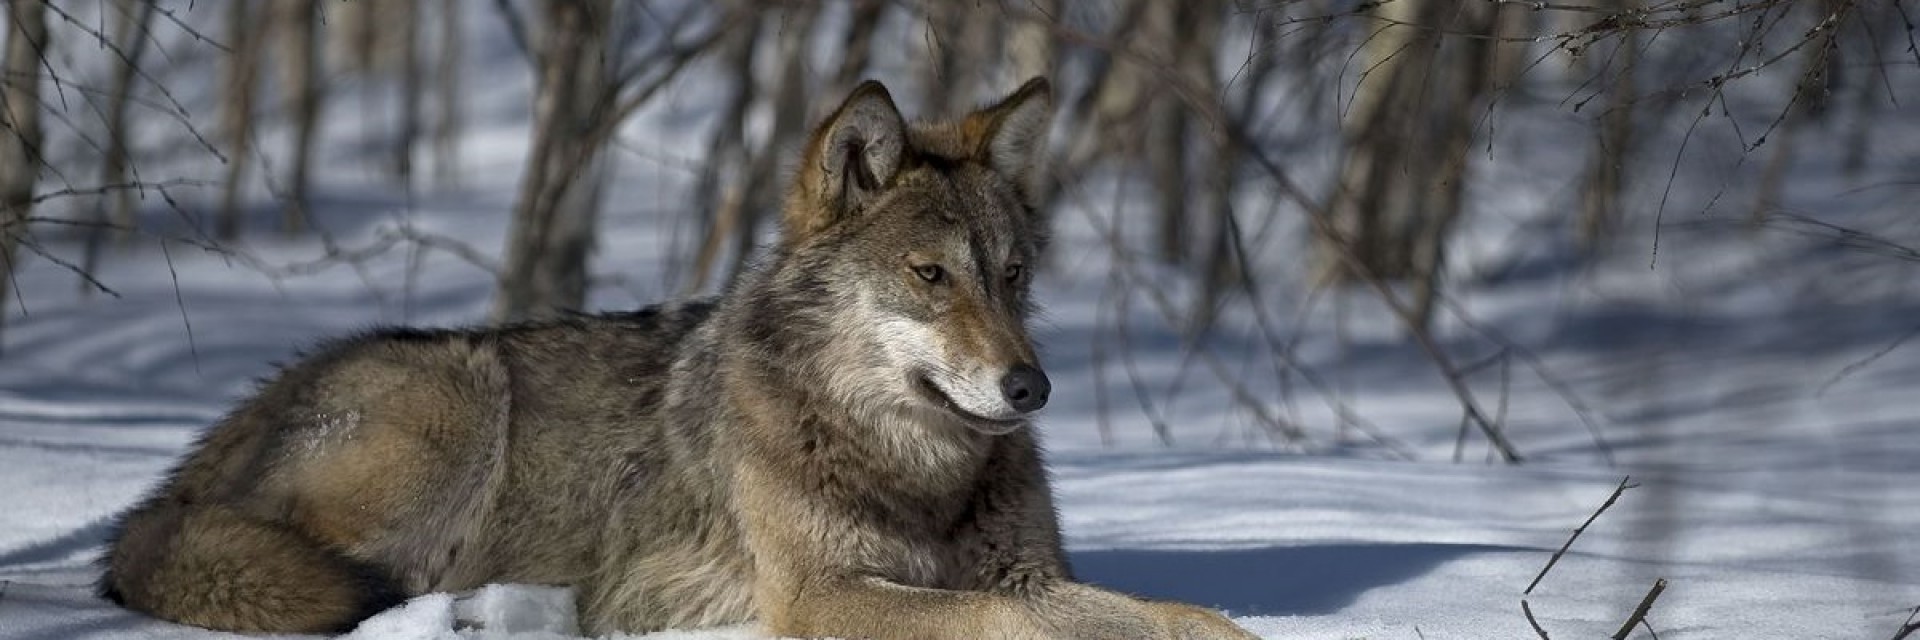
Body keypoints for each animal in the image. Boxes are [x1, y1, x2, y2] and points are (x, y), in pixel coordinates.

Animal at [98, 78, 1259, 639]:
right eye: (931, 276)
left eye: (1013, 275)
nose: (1033, 387)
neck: (913, 468)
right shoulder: (821, 598)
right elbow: (1010, 618)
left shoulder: (1028, 567)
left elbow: (1137, 612)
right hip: (455, 405)